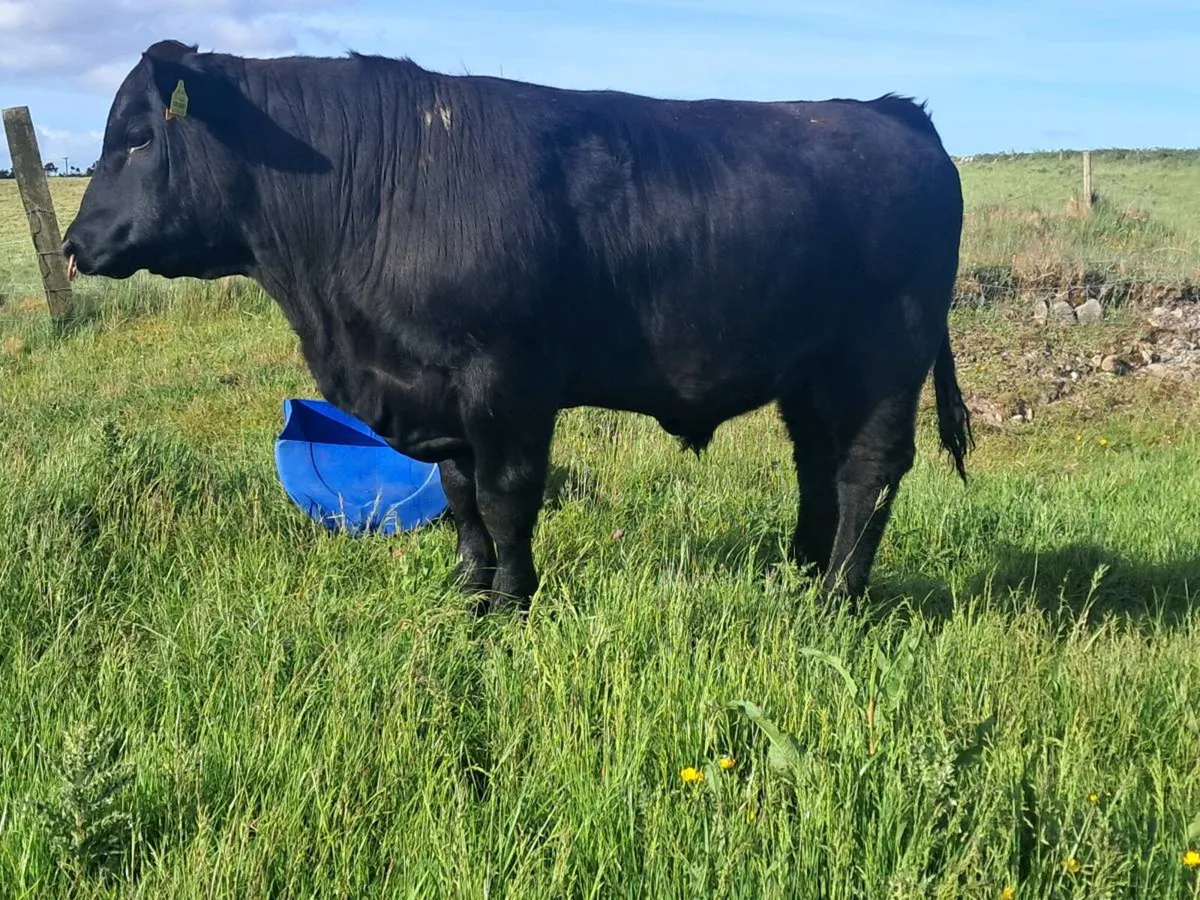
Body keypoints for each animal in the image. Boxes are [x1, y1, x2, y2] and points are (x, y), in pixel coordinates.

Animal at [62, 39, 973, 613]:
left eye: (136, 137)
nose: (73, 243)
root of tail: (888, 111)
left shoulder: (505, 383)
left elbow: (505, 501)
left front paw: (511, 606)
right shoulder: (437, 393)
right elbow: (462, 502)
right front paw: (468, 599)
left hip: (883, 360)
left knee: (868, 473)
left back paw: (835, 601)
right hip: (809, 371)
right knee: (817, 468)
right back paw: (797, 574)